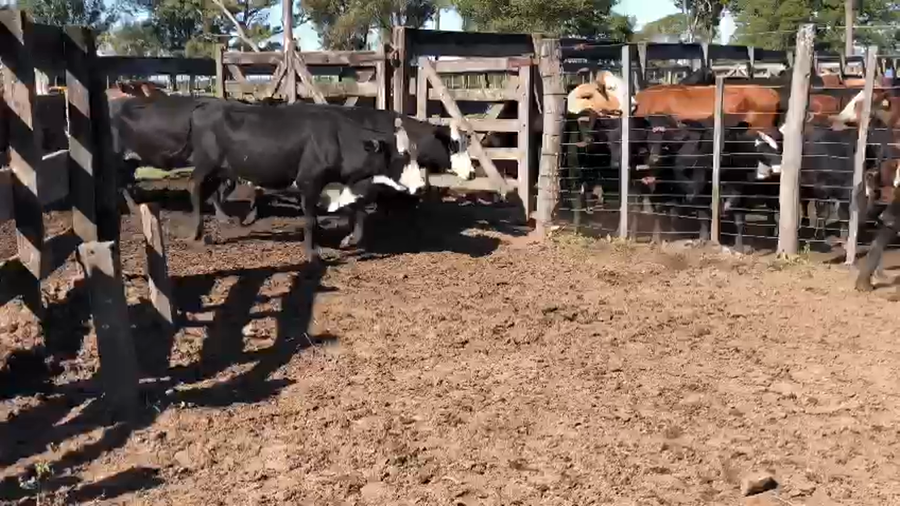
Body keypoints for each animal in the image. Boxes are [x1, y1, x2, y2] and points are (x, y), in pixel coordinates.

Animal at [189, 100, 426, 262]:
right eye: (401, 155)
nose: (422, 186)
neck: (337, 140)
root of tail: (206, 105)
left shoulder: (337, 186)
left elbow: (358, 214)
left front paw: (347, 240)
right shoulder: (309, 183)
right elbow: (311, 220)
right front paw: (313, 253)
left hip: (221, 170)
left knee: (210, 193)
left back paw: (220, 222)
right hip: (206, 164)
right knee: (194, 186)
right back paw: (197, 233)